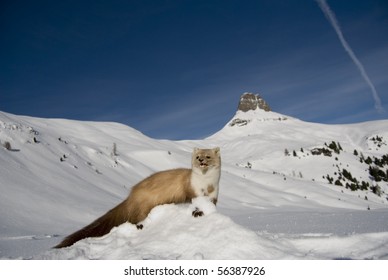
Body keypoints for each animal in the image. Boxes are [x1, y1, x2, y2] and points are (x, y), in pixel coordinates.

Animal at [53, 148, 220, 248]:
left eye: (208, 156)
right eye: (197, 157)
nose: (201, 161)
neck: (207, 185)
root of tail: (131, 195)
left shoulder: (214, 196)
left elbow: (211, 204)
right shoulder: (192, 191)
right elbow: (194, 200)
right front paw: (198, 210)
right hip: (143, 208)